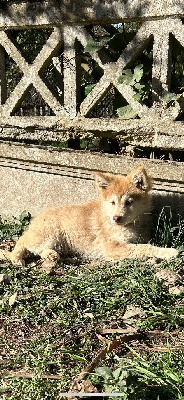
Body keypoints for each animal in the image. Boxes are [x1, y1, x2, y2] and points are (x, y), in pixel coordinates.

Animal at [5, 166, 178, 266]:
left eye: (129, 202)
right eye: (112, 202)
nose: (116, 218)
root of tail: (33, 223)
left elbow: (143, 244)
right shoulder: (112, 246)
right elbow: (143, 248)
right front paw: (169, 252)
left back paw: (51, 255)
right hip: (50, 234)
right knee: (25, 244)